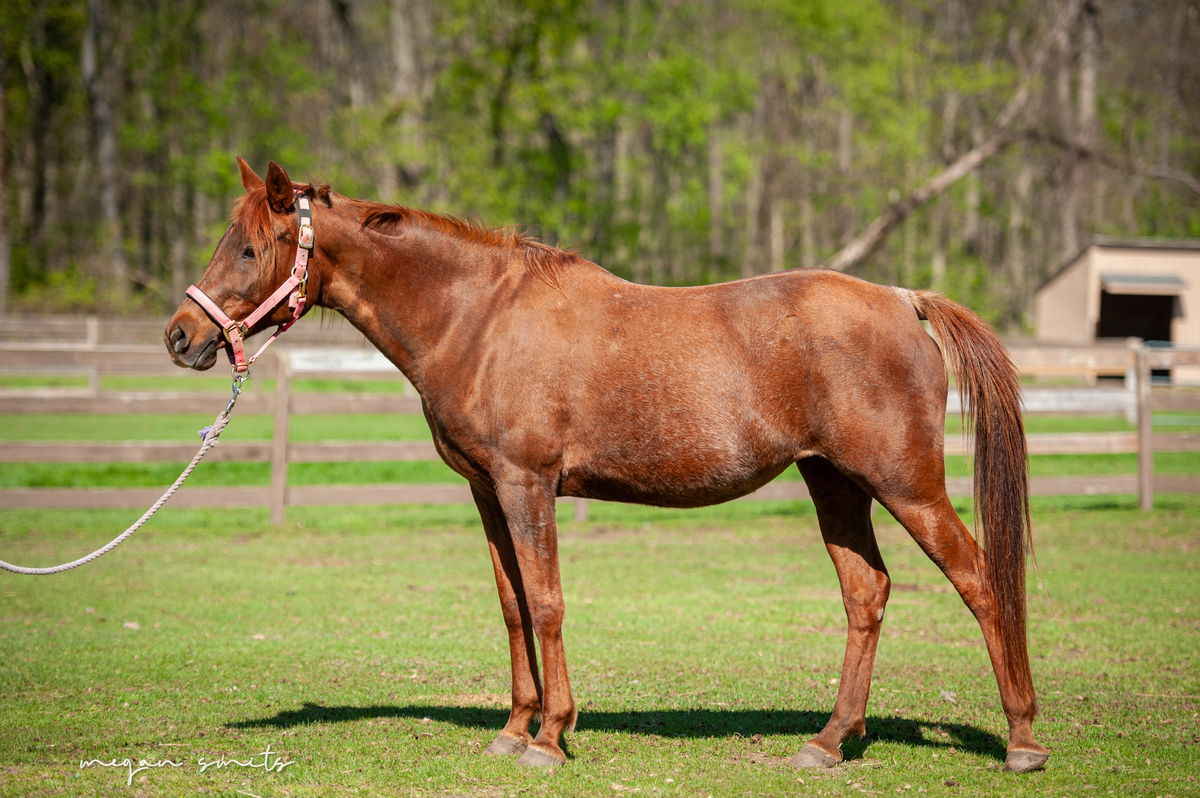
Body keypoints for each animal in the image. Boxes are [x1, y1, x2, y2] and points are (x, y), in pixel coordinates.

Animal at [164, 158, 1048, 774]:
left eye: (249, 247)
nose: (180, 336)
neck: (478, 318)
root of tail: (905, 299)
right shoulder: (487, 492)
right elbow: (513, 605)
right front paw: (513, 729)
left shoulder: (528, 485)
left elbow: (549, 602)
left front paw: (551, 738)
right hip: (834, 483)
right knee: (867, 595)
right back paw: (827, 743)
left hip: (907, 485)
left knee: (979, 580)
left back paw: (1022, 740)